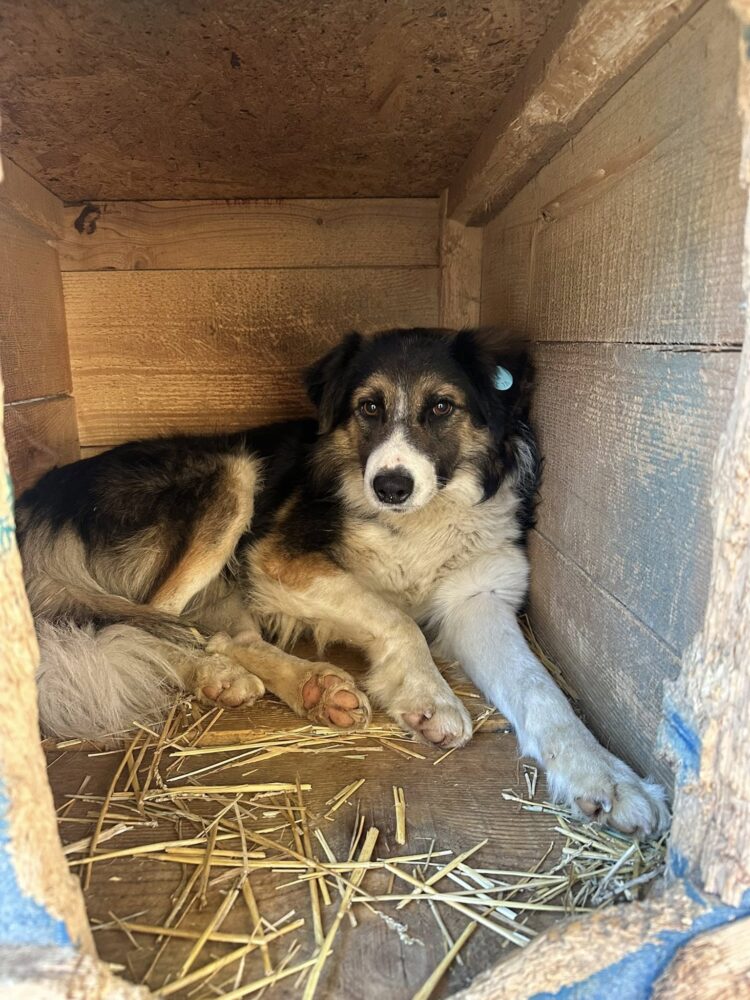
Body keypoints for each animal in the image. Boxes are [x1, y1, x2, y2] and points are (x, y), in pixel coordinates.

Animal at [17, 327, 667, 836]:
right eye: (369, 408)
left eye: (441, 407)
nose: (391, 486)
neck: (417, 521)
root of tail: (38, 494)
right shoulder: (280, 560)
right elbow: (397, 617)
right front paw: (430, 697)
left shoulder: (478, 600)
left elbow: (541, 690)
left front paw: (605, 777)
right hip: (230, 477)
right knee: (150, 623)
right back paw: (216, 674)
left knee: (220, 635)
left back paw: (309, 686)